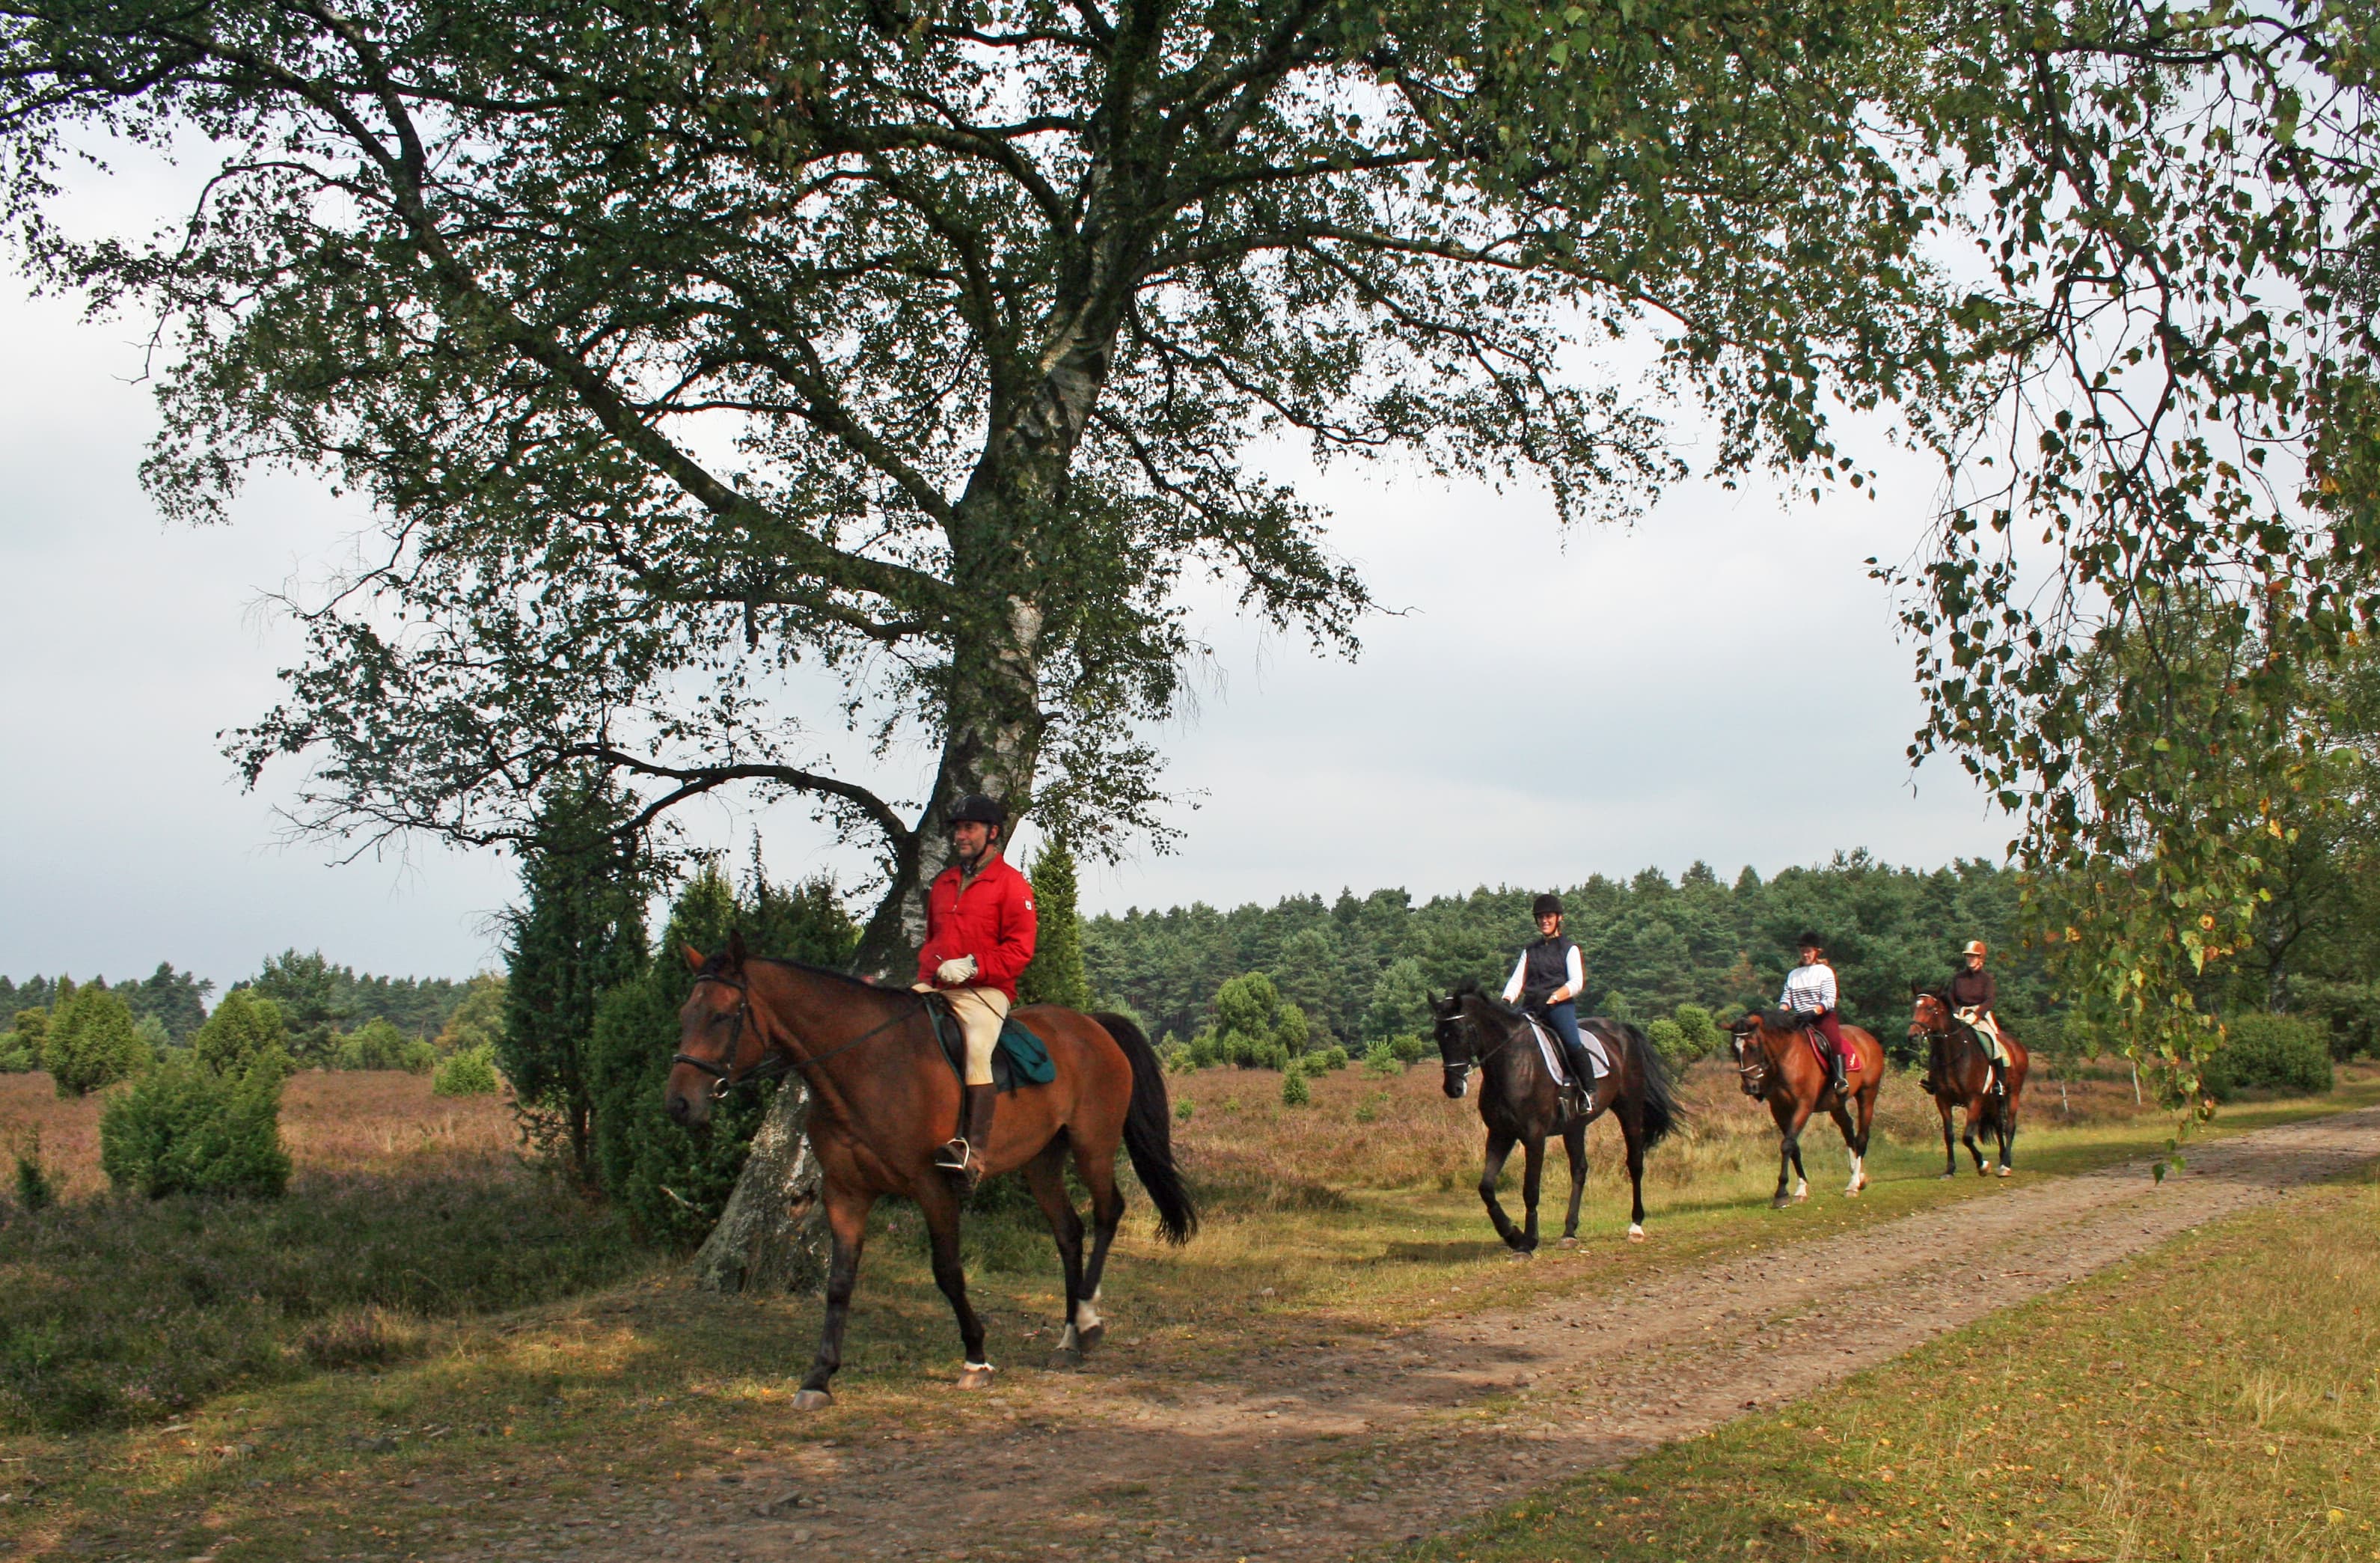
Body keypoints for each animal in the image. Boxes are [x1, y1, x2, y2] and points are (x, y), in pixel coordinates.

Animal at [666, 932, 1190, 1408]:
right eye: (684, 1014)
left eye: (722, 1015)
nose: (679, 1104)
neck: (869, 1065)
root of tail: (1092, 1025)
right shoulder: (845, 1192)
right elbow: (839, 1282)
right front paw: (819, 1376)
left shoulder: (933, 1186)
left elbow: (948, 1272)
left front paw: (976, 1358)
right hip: (1041, 1161)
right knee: (1068, 1232)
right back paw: (1067, 1339)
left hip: (1093, 1145)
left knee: (1107, 1213)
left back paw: (1087, 1321)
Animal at [1418, 989, 1685, 1255]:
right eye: (1437, 1035)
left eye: (1460, 1032)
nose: (1453, 1088)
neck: (1513, 1062)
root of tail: (1622, 1030)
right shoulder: (1500, 1133)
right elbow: (1486, 1187)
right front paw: (1512, 1234)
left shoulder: (1534, 1136)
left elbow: (1530, 1190)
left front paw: (1528, 1241)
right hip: (1575, 1126)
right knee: (1579, 1170)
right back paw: (1569, 1232)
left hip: (1629, 1109)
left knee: (1635, 1163)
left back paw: (1635, 1227)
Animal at [1723, 1003, 1885, 1213]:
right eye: (1734, 1049)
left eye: (1754, 1046)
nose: (1750, 1087)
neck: (1788, 1058)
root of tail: (1867, 1038)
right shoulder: (1779, 1110)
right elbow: (1793, 1147)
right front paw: (1800, 1189)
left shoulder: (1803, 1106)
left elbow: (1787, 1145)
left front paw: (1781, 1194)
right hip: (1836, 1102)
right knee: (1847, 1129)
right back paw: (1859, 1177)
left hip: (1867, 1094)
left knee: (1862, 1137)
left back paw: (1853, 1184)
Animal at [1903, 994, 2037, 1175]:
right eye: (1913, 1008)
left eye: (1930, 1009)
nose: (1913, 1036)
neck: (1953, 1055)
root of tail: (2016, 1044)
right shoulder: (1943, 1100)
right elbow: (1949, 1135)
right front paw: (1950, 1169)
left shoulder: (1974, 1100)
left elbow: (1967, 1137)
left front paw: (1982, 1165)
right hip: (1992, 1099)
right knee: (1998, 1125)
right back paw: (2002, 1158)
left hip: (2013, 1093)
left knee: (2009, 1126)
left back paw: (2005, 1165)